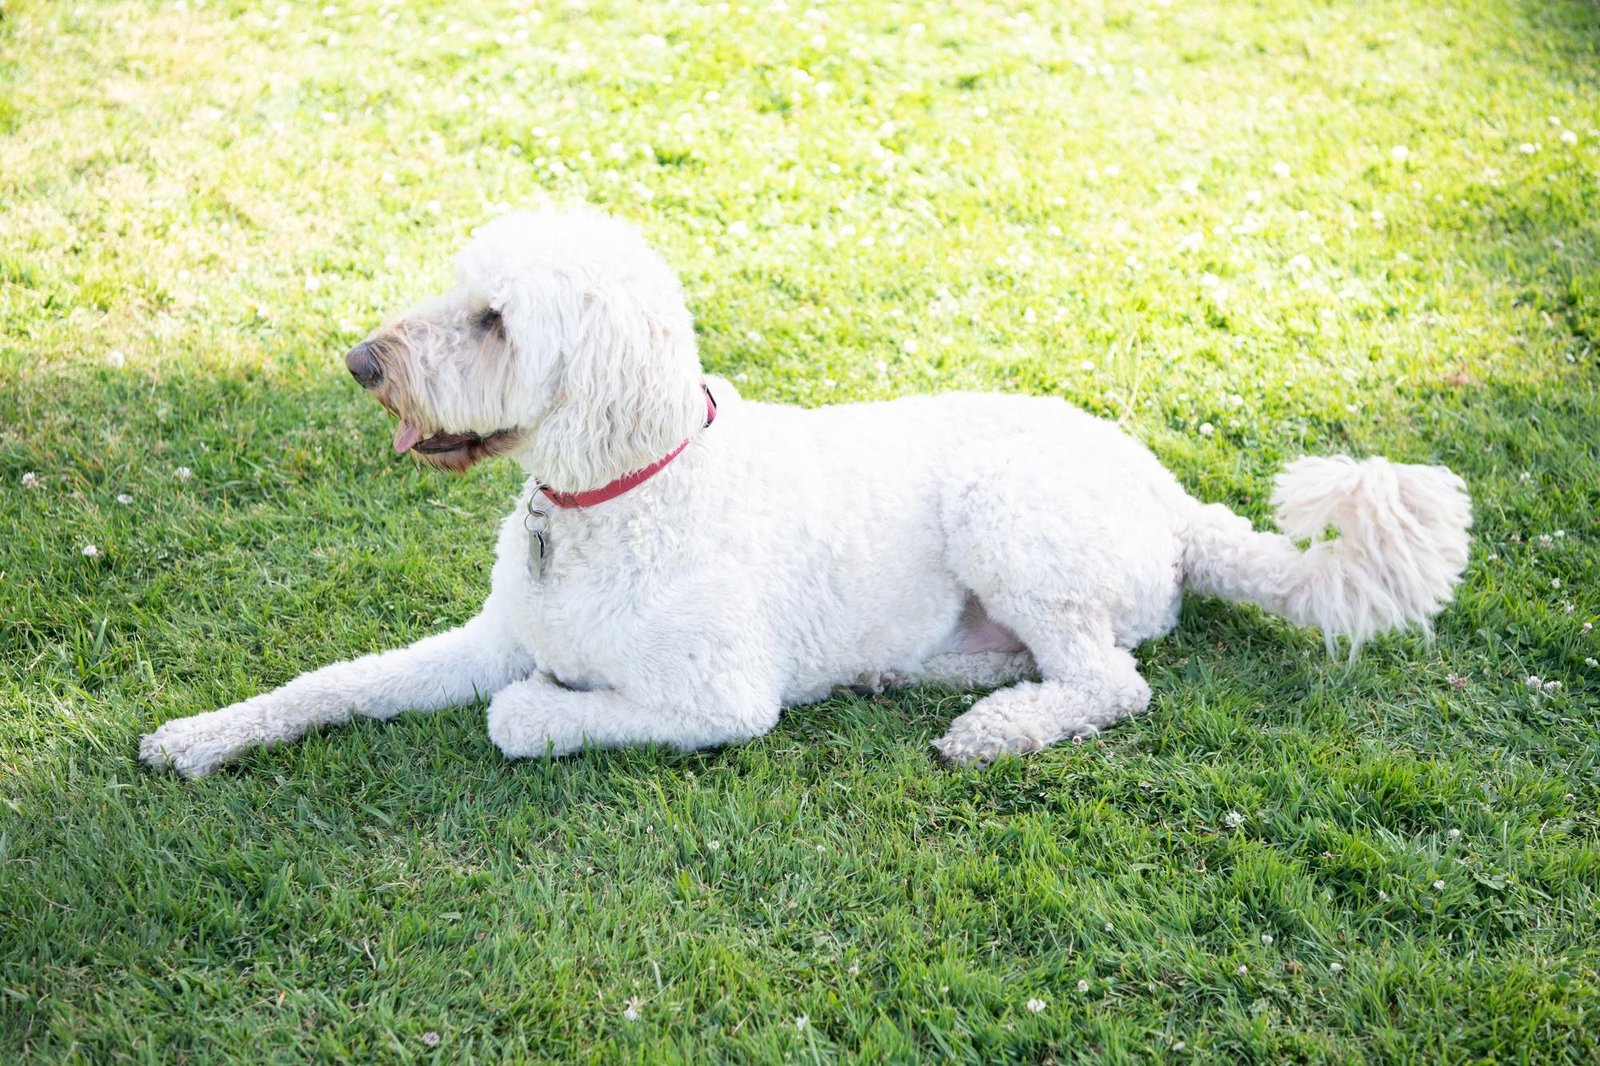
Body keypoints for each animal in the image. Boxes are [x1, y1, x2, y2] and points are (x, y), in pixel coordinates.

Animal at [140, 208, 1472, 777]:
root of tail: (1167, 490)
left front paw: (546, 709)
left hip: (1005, 511)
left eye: (495, 321)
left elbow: (521, 714)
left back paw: (996, 727)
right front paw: (202, 736)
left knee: (1110, 682)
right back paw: (931, 677)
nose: (360, 364)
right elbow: (332, 683)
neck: (616, 497)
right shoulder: (485, 639)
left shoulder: (721, 700)